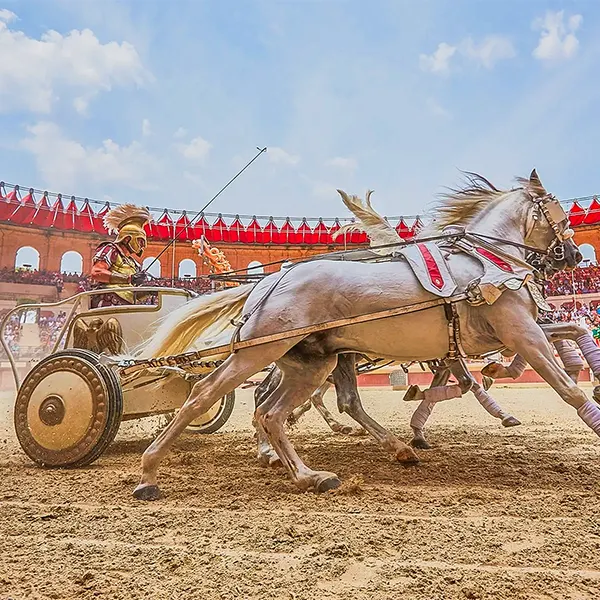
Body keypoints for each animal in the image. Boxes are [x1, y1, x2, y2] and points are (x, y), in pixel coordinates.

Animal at [132, 171, 592, 500]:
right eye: (561, 214)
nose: (572, 256)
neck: (485, 263)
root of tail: (269, 282)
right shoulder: (517, 331)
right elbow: (564, 386)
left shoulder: (489, 339)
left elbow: (572, 332)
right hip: (260, 353)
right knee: (206, 394)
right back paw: (150, 471)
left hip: (312, 362)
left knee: (273, 411)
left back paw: (310, 473)